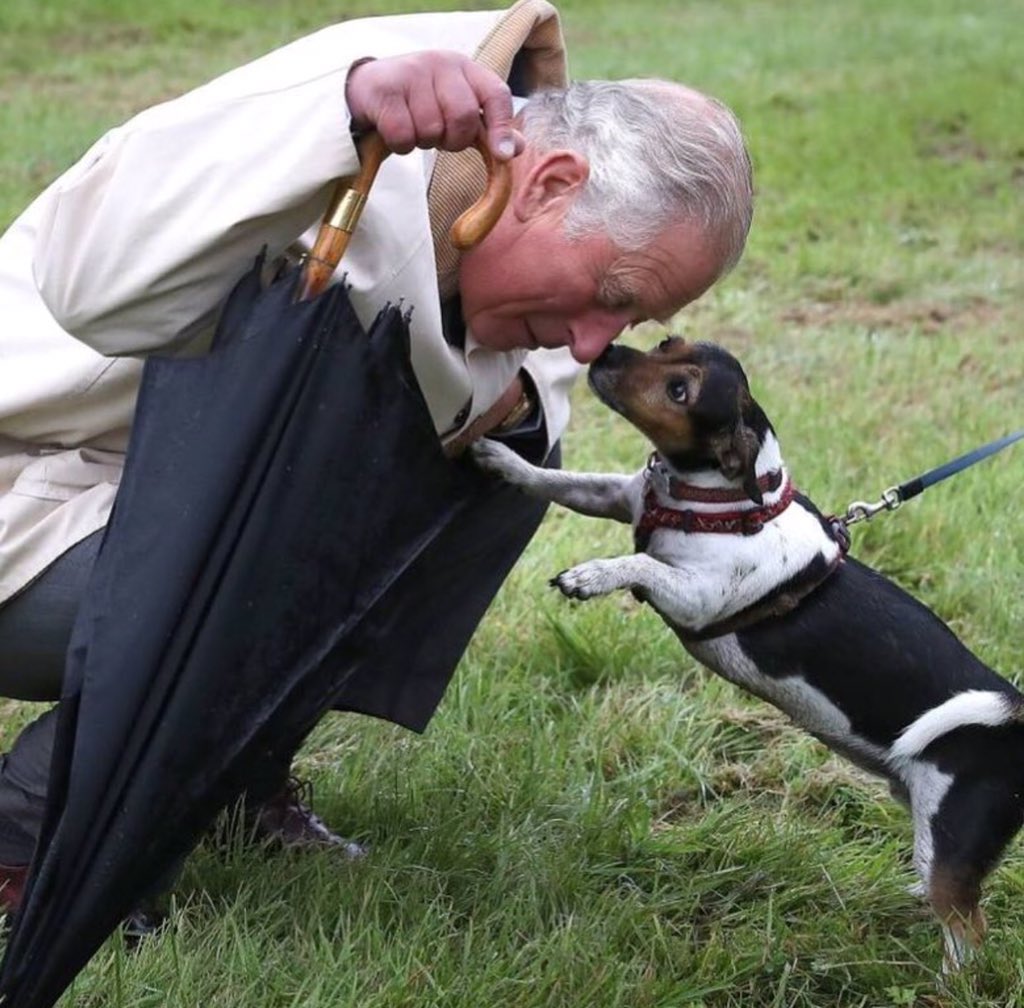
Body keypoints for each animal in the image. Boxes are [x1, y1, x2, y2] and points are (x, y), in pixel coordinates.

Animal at [475, 340, 1024, 975]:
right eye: (667, 345)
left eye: (680, 391)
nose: (606, 351)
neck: (718, 498)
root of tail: (1015, 719)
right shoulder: (616, 496)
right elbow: (561, 482)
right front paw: (503, 459)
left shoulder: (695, 597)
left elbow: (640, 564)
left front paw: (592, 575)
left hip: (950, 838)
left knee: (968, 928)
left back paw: (947, 983)